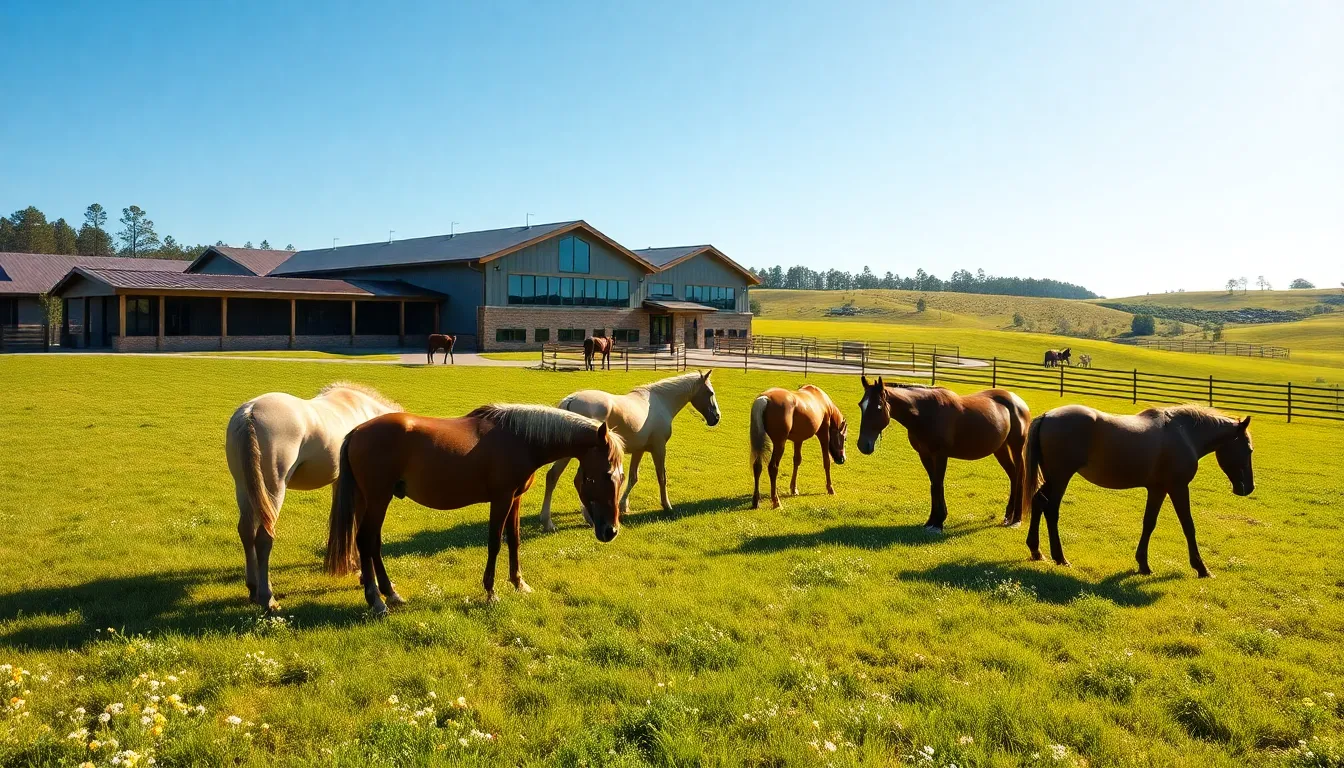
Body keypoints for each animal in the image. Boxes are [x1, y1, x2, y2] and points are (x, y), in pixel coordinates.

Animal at [225, 382, 401, 612]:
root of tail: (250, 413)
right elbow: (356, 527)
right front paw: (363, 574)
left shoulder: (340, 483)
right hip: (273, 490)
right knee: (263, 537)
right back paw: (267, 597)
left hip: (245, 488)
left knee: (246, 531)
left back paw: (254, 589)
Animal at [325, 404, 626, 614]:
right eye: (604, 475)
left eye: (621, 476)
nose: (611, 531)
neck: (519, 439)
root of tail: (357, 432)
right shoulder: (501, 499)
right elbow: (495, 543)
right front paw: (491, 592)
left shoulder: (515, 499)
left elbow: (514, 540)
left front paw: (519, 584)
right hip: (378, 499)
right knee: (366, 541)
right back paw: (376, 600)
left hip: (370, 500)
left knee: (373, 544)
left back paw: (390, 593)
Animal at [539, 371, 721, 530]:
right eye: (710, 392)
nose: (717, 417)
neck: (660, 402)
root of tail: (571, 400)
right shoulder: (659, 448)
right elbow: (661, 477)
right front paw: (666, 505)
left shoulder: (638, 451)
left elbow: (633, 477)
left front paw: (623, 505)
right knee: (570, 479)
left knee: (553, 476)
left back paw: (550, 522)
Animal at [856, 376, 1032, 530]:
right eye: (861, 405)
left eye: (878, 407)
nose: (863, 445)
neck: (926, 412)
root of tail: (1018, 401)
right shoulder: (925, 455)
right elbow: (933, 484)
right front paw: (932, 520)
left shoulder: (940, 455)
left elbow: (938, 484)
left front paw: (938, 522)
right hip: (1000, 449)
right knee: (1013, 476)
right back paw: (1008, 515)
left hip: (1016, 448)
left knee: (1020, 477)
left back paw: (1016, 520)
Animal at [1024, 404, 1253, 577]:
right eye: (1249, 449)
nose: (1249, 488)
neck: (1184, 434)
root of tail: (1047, 416)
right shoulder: (1178, 487)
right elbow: (1188, 526)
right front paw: (1202, 568)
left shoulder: (1158, 489)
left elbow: (1149, 523)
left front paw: (1143, 564)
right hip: (1061, 477)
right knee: (1051, 510)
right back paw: (1060, 557)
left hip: (1052, 477)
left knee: (1038, 501)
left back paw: (1036, 550)